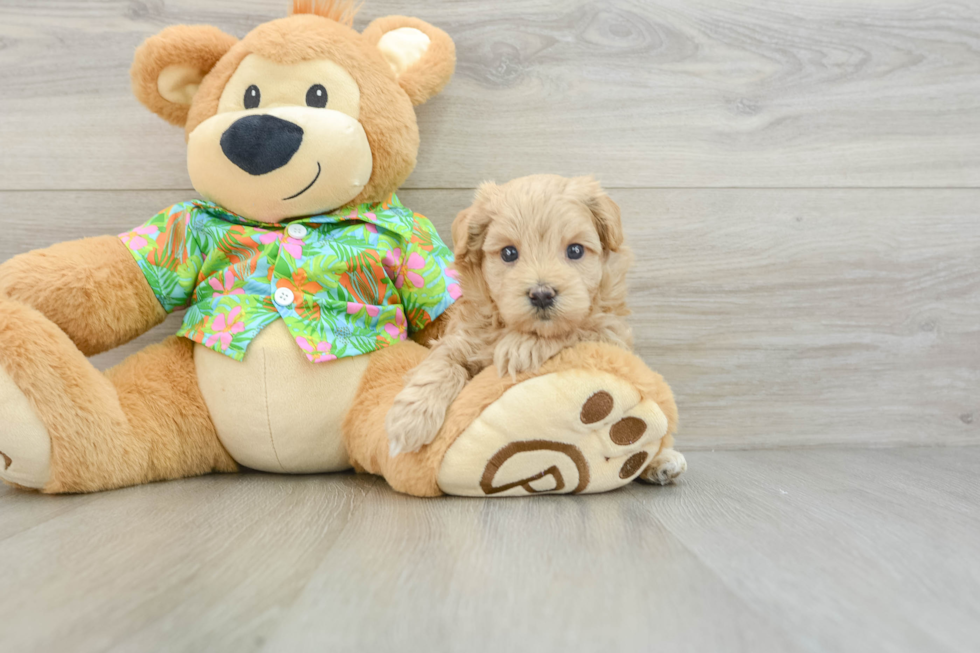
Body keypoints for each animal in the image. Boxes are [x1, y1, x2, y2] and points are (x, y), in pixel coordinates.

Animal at [386, 176, 632, 456]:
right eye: (508, 253)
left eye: (576, 250)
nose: (542, 295)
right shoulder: (464, 338)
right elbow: (442, 362)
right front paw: (410, 419)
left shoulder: (612, 334)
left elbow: (577, 328)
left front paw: (522, 345)